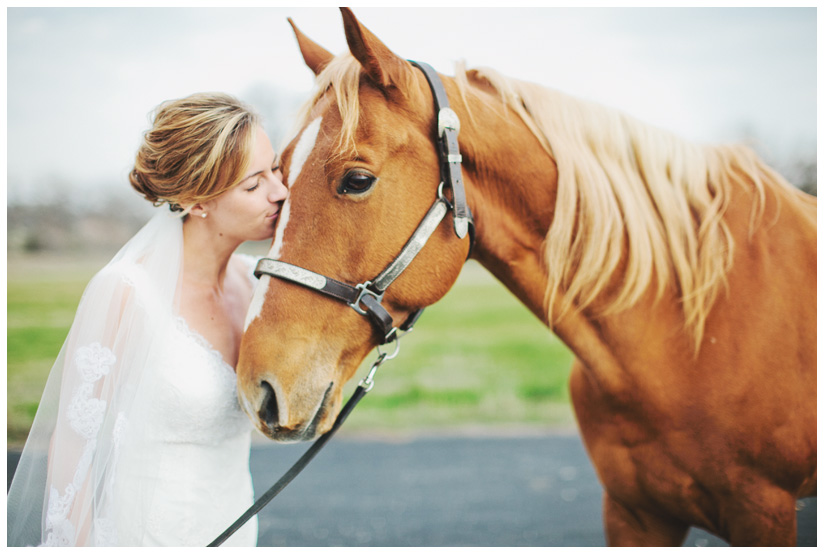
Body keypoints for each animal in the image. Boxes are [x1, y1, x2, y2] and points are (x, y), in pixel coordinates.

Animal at [235, 7, 816, 548]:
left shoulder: (761, 514)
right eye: (278, 178)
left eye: (357, 180)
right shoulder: (634, 514)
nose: (258, 385)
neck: (685, 334)